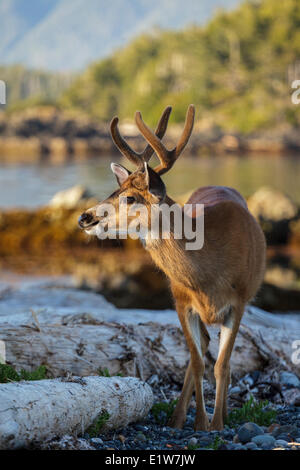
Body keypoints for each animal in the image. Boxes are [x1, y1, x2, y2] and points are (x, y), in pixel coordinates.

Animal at [78, 105, 266, 430]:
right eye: (114, 191)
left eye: (129, 197)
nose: (84, 217)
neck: (210, 274)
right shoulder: (180, 299)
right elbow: (198, 361)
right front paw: (200, 423)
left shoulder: (240, 301)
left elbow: (222, 365)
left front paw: (217, 424)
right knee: (200, 350)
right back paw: (178, 418)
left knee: (219, 358)